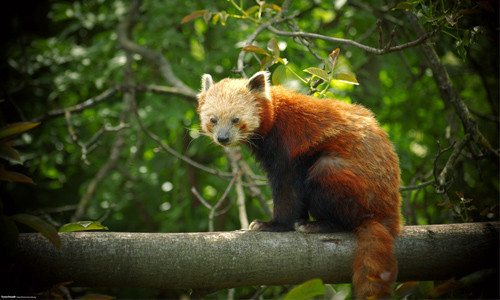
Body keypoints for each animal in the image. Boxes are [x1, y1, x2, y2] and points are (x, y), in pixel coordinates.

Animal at [197, 71, 400, 298]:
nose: (223, 138)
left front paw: (274, 225)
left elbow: (288, 191)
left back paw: (320, 224)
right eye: (213, 120)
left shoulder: (288, 148)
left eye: (235, 119)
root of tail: (387, 211)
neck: (274, 117)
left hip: (342, 177)